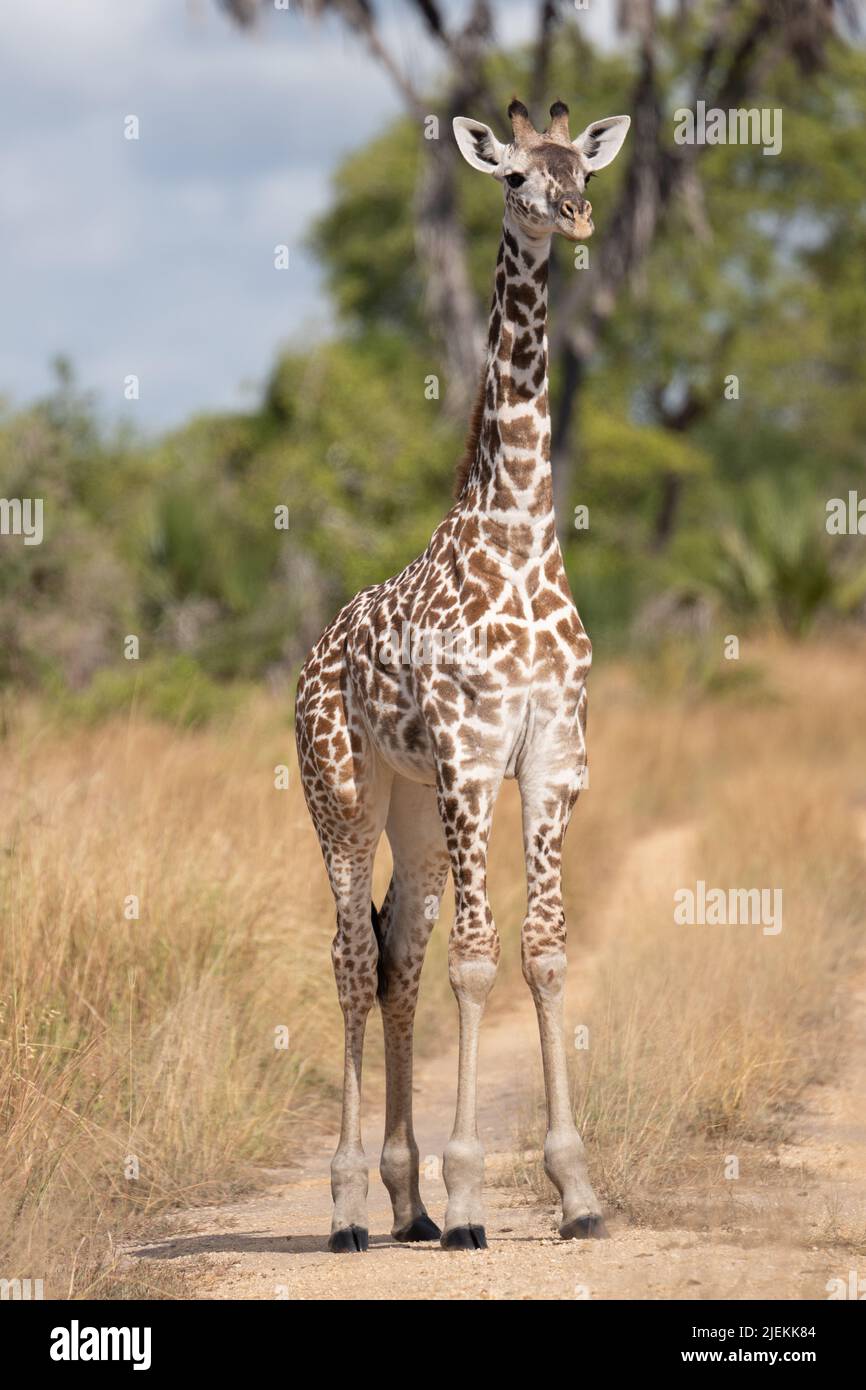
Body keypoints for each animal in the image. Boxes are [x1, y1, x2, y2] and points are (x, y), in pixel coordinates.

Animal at [296, 95, 631, 1251]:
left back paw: (406, 1203)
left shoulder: (552, 756)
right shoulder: (471, 755)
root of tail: (308, 658)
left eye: (583, 168)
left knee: (396, 952)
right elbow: (478, 960)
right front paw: (476, 1192)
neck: (521, 535)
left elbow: (545, 950)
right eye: (516, 179)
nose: (573, 216)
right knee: (352, 958)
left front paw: (575, 1191)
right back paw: (351, 1204)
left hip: (411, 808)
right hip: (344, 796)